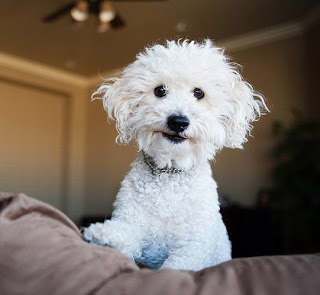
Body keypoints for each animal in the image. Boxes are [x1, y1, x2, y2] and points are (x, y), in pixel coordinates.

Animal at [83, 40, 268, 272]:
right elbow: (125, 233)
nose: (178, 122)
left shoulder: (192, 248)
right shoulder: (133, 222)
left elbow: (174, 269)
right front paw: (103, 234)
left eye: (199, 93)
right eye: (160, 90)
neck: (170, 173)